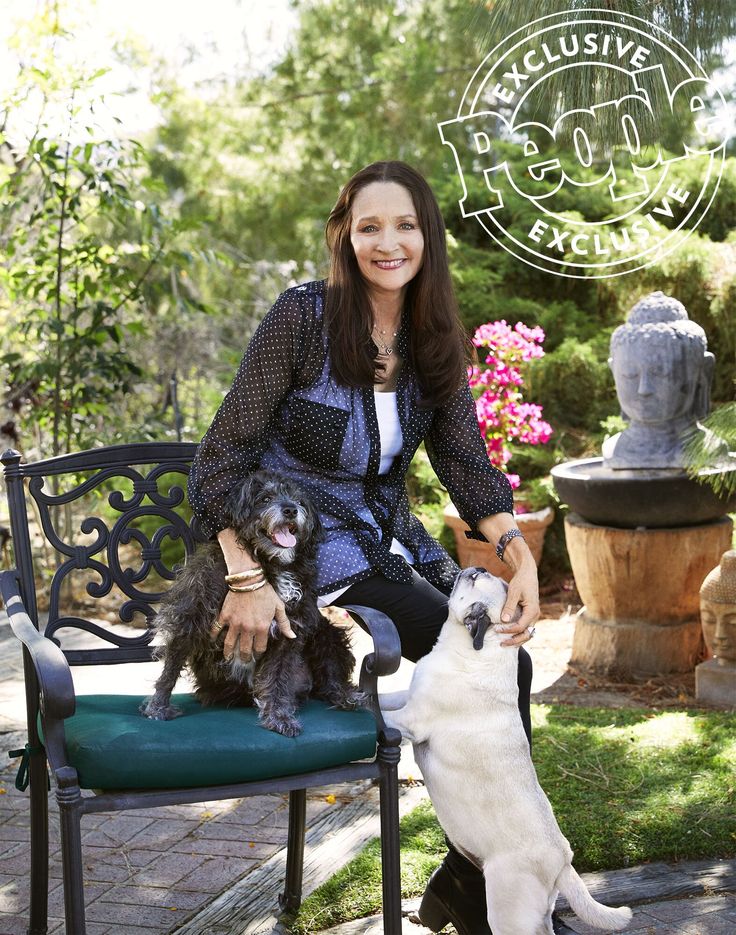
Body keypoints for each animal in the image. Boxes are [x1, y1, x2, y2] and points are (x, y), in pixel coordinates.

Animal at [139, 472, 364, 736]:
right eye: (265, 498)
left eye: (300, 501)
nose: (290, 509)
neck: (271, 563)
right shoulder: (191, 615)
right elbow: (172, 665)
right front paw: (158, 707)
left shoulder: (289, 632)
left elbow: (277, 678)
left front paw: (278, 717)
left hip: (326, 634)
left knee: (329, 674)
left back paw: (345, 695)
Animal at [380, 568, 632, 932]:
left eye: (473, 582)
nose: (475, 568)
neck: (482, 650)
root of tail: (562, 863)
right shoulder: (406, 698)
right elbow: (384, 697)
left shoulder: (411, 718)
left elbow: (382, 714)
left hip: (507, 912)